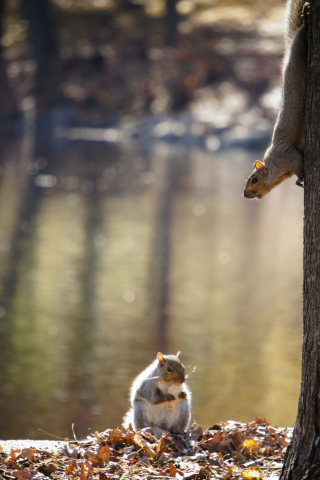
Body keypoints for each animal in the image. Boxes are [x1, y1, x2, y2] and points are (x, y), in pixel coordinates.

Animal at [244, 0, 308, 199]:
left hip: (297, 56)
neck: (273, 166)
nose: (244, 194)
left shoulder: (289, 157)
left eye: (254, 179)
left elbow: (299, 163)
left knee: (300, 38)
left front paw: (300, 179)